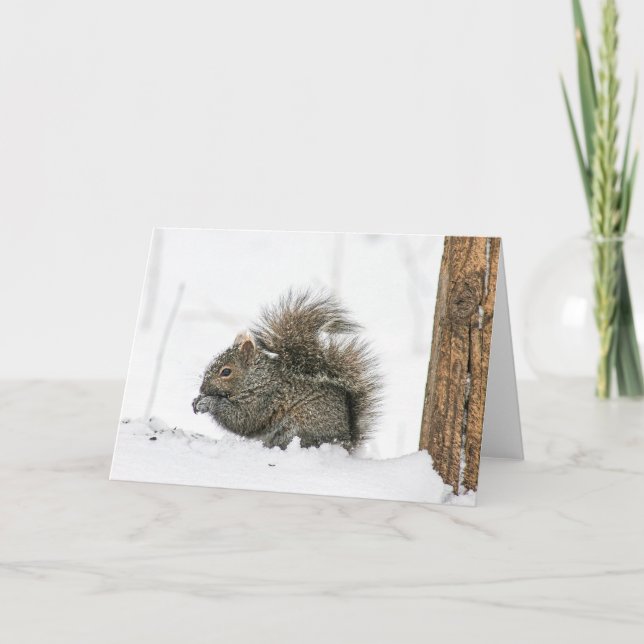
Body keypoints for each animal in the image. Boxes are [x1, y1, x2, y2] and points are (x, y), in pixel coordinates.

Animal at [192, 289, 381, 451]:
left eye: (226, 372)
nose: (202, 389)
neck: (257, 379)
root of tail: (345, 441)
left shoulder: (264, 400)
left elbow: (242, 419)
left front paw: (208, 402)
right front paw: (197, 400)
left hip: (298, 427)